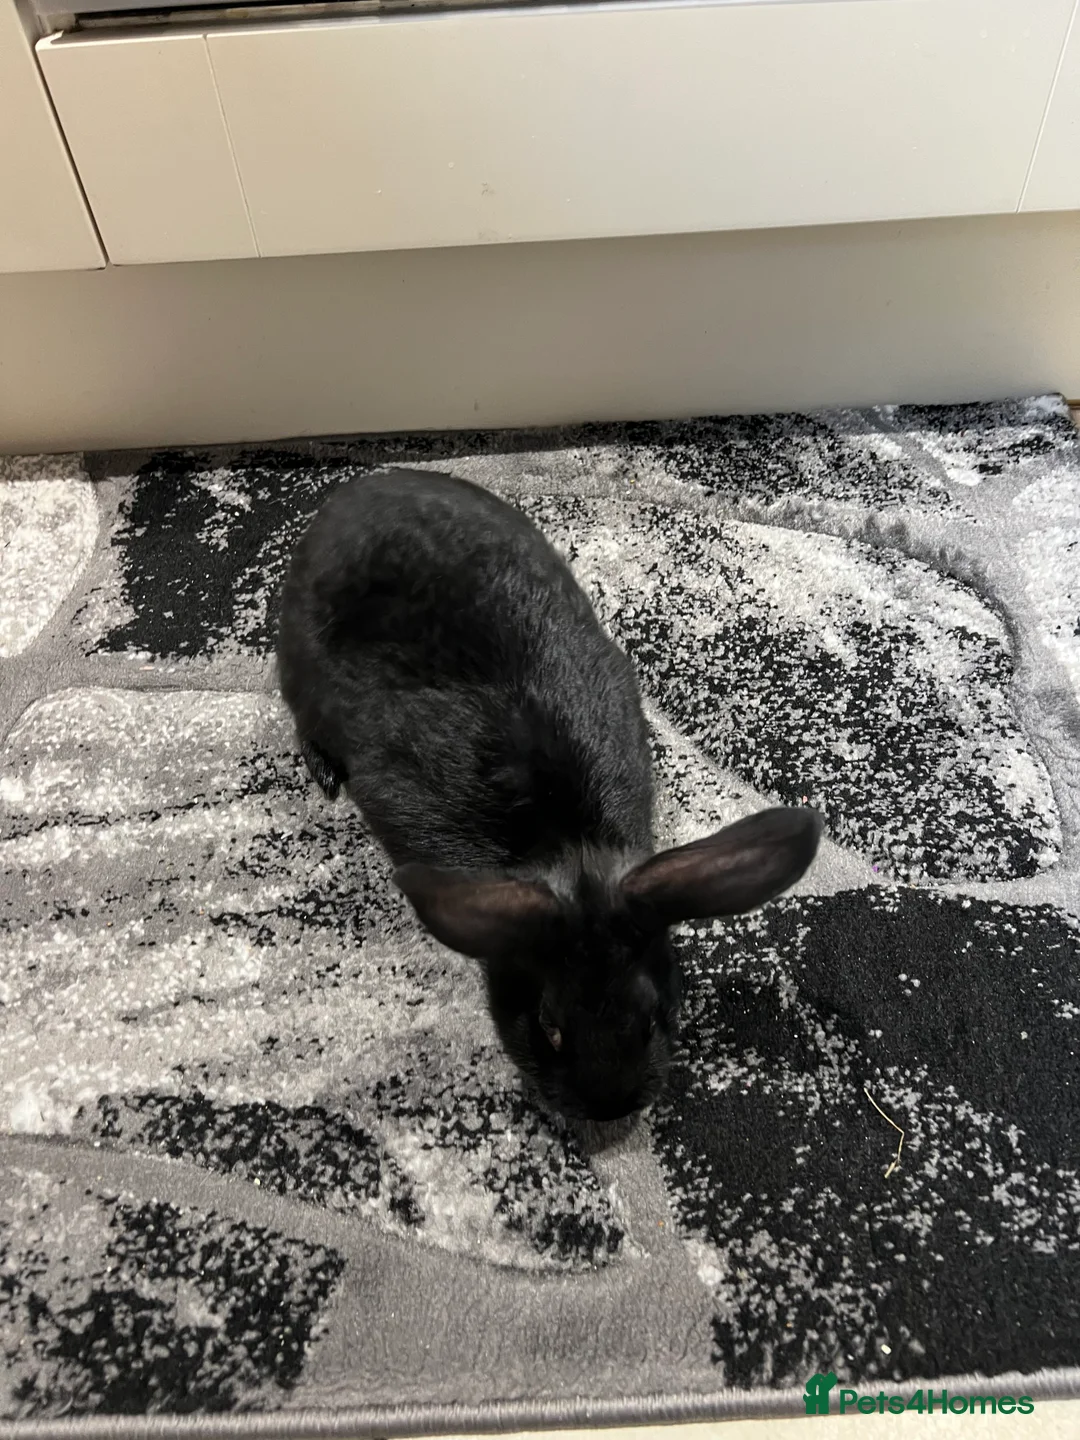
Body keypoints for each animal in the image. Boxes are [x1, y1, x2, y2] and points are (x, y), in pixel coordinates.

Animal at [277, 468, 822, 1122]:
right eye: (549, 1026)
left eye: (652, 1019)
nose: (609, 1109)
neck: (569, 844)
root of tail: (356, 492)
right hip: (301, 664)